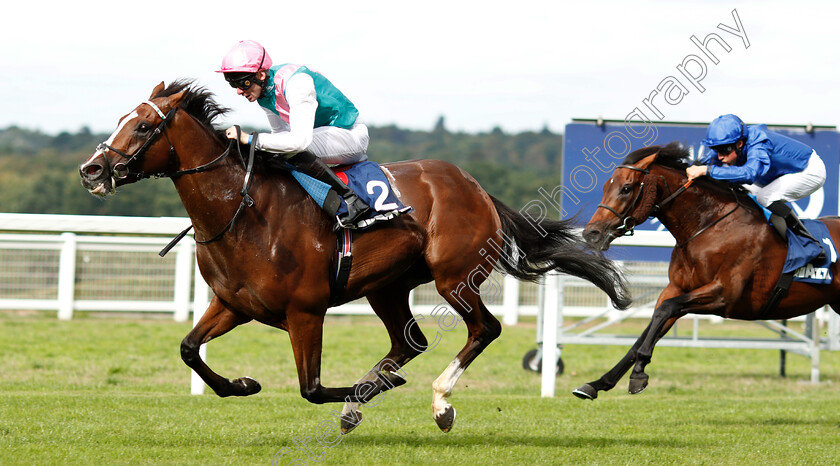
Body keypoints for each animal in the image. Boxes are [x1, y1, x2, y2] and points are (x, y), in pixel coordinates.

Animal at [77, 79, 632, 430]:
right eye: (122, 120)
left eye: (143, 128)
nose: (92, 170)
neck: (243, 212)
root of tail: (474, 186)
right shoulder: (233, 304)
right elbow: (190, 349)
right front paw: (243, 383)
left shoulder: (306, 311)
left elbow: (312, 387)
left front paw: (361, 397)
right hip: (387, 287)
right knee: (410, 342)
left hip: (453, 277)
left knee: (483, 329)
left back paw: (438, 402)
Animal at [576, 143, 840, 400]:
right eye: (605, 186)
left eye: (626, 188)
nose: (592, 233)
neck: (709, 226)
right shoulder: (677, 288)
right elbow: (652, 324)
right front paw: (597, 384)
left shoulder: (724, 295)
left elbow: (665, 310)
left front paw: (639, 373)